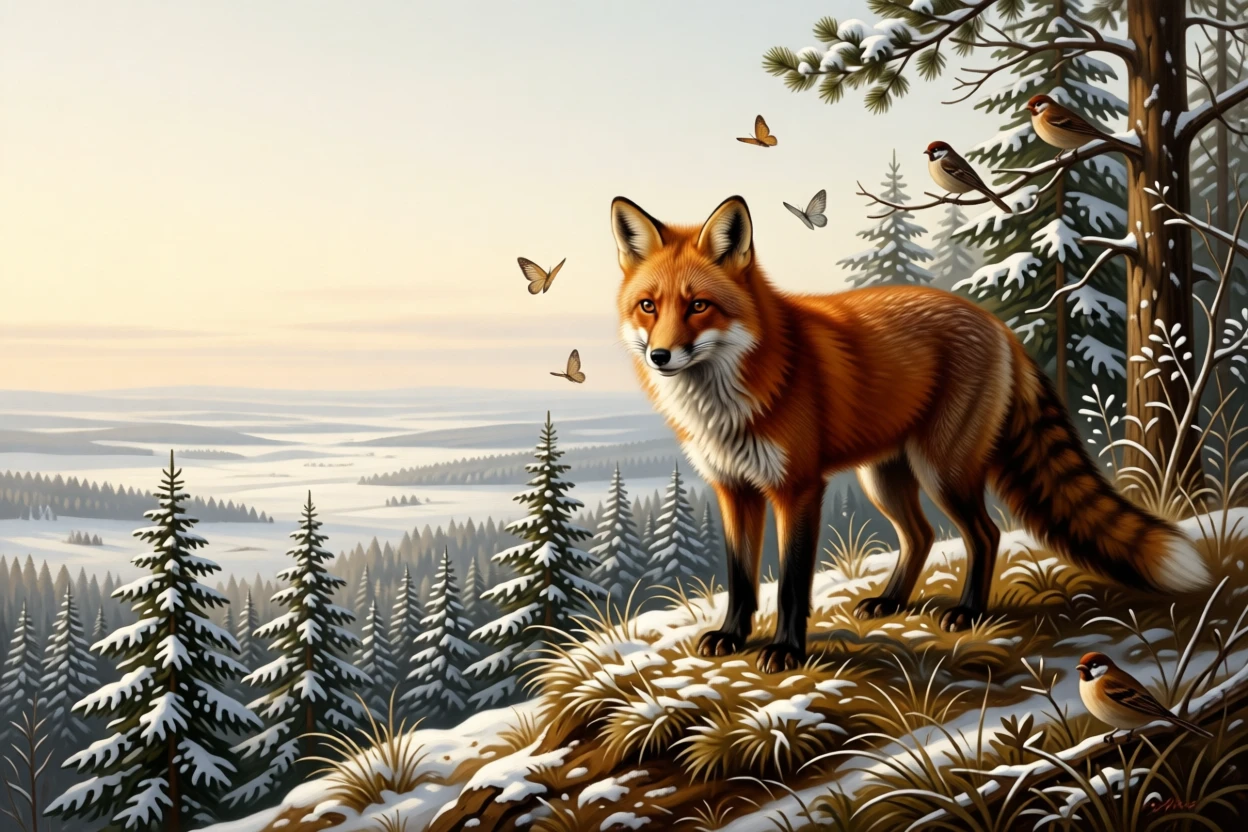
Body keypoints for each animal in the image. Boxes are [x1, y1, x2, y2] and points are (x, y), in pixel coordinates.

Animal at [609, 194, 1211, 674]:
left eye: (698, 306)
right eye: (649, 306)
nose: (661, 356)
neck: (726, 401)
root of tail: (996, 323)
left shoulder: (798, 488)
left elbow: (793, 583)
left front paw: (786, 650)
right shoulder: (732, 488)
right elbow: (739, 576)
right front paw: (732, 636)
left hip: (942, 472)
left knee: (985, 534)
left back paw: (968, 611)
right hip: (884, 478)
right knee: (920, 536)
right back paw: (891, 602)